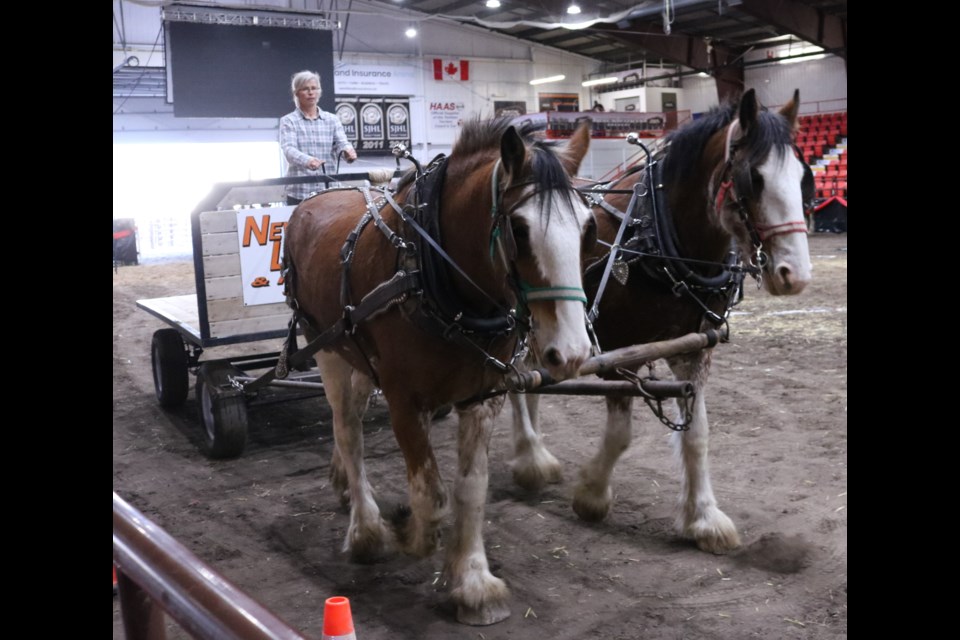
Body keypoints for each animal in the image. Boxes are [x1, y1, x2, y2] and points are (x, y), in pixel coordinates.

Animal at [282, 117, 600, 624]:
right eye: (519, 228)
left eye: (589, 229)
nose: (570, 352)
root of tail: (313, 202)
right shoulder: (403, 401)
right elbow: (430, 497)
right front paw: (406, 530)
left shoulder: (482, 397)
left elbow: (471, 489)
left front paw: (472, 583)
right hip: (326, 347)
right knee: (347, 430)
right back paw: (366, 530)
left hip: (356, 355)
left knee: (350, 421)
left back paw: (345, 486)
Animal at [506, 89, 812, 556]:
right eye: (754, 179)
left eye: (802, 176)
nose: (795, 274)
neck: (659, 238)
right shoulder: (620, 353)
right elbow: (621, 434)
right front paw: (592, 495)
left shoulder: (694, 349)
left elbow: (698, 434)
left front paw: (703, 518)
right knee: (517, 381)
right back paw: (530, 459)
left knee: (533, 379)